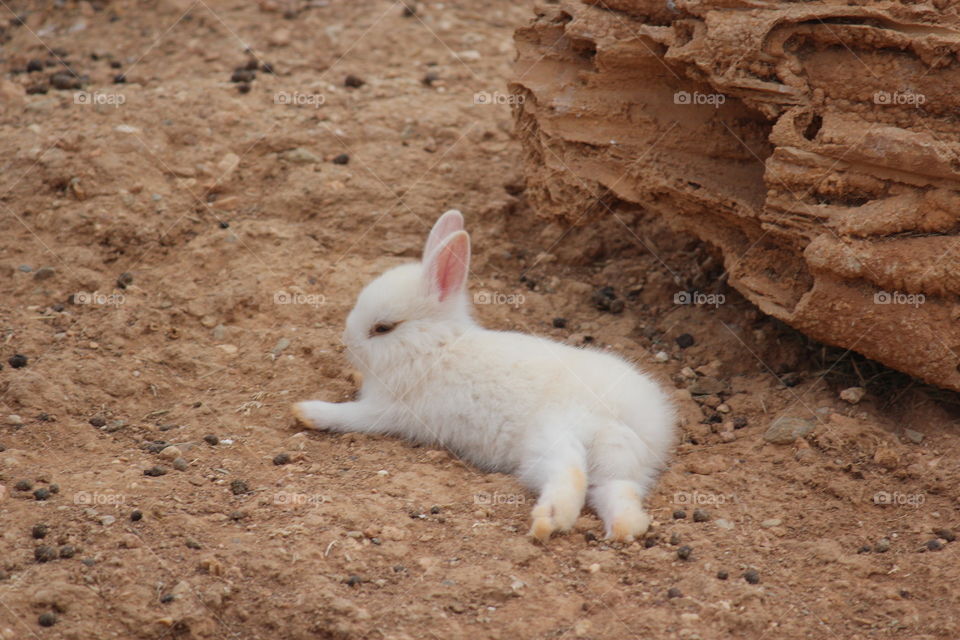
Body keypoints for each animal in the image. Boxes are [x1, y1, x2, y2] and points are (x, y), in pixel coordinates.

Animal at [292, 210, 676, 540]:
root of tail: (635, 419)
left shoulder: (387, 409)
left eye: (383, 328)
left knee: (571, 473)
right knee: (620, 496)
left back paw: (548, 521)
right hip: (619, 462)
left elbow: (349, 415)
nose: (347, 344)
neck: (435, 345)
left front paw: (306, 411)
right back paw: (620, 529)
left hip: (553, 434)